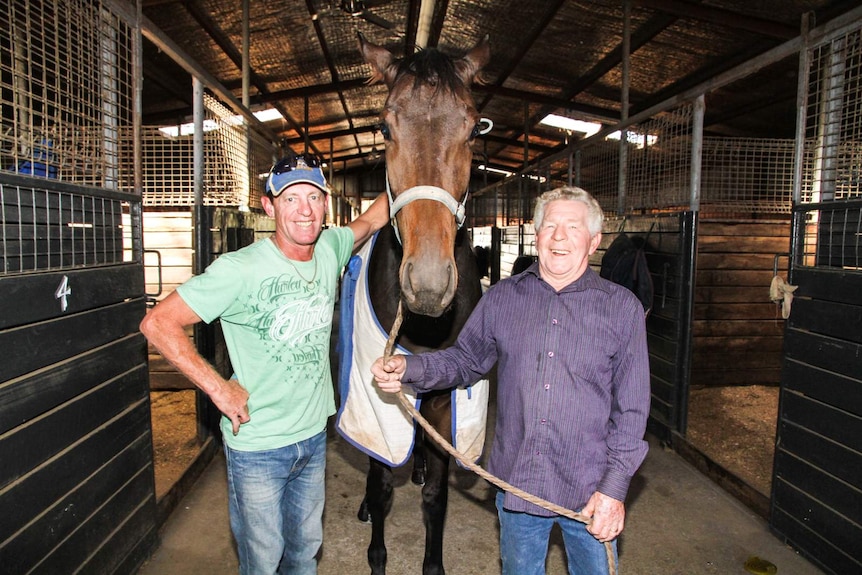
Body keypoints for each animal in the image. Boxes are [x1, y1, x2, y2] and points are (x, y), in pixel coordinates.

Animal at [352, 35, 492, 575]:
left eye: (473, 128)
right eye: (386, 127)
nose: (428, 285)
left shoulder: (442, 400)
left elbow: (436, 498)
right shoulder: (374, 399)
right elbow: (378, 482)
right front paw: (377, 556)